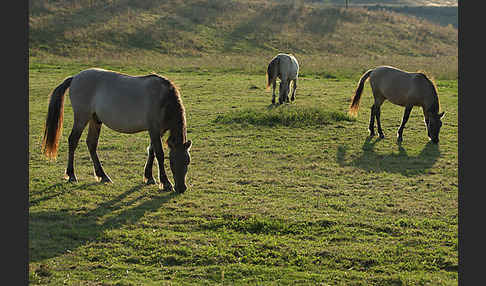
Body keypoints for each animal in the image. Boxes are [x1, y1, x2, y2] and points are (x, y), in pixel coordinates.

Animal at [40, 67, 192, 192]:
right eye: (172, 162)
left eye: (187, 162)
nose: (181, 188)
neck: (163, 98)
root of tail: (75, 78)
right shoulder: (154, 129)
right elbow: (159, 154)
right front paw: (165, 183)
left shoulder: (158, 131)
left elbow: (151, 151)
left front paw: (149, 177)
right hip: (81, 118)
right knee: (73, 141)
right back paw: (71, 175)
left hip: (95, 120)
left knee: (91, 144)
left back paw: (103, 175)